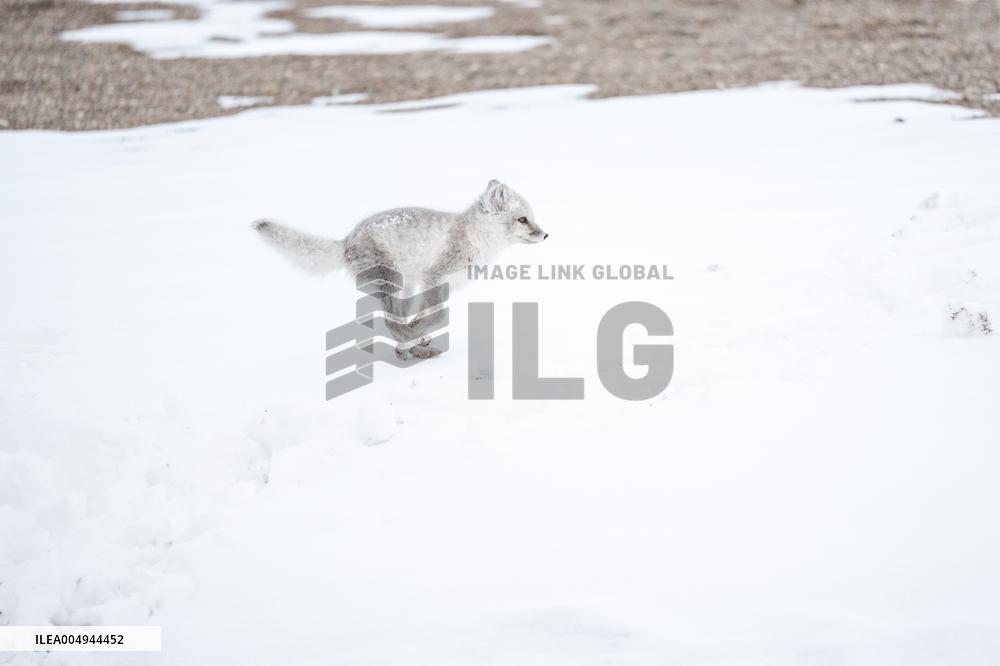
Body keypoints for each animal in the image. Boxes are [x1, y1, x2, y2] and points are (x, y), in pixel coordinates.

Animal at [252, 180, 548, 359]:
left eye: (531, 218)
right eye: (523, 220)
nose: (546, 235)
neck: (474, 236)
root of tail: (347, 241)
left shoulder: (438, 284)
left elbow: (428, 312)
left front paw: (419, 331)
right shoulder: (434, 275)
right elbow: (438, 314)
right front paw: (417, 331)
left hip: (405, 287)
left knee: (395, 320)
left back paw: (412, 346)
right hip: (392, 281)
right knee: (390, 321)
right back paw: (410, 344)